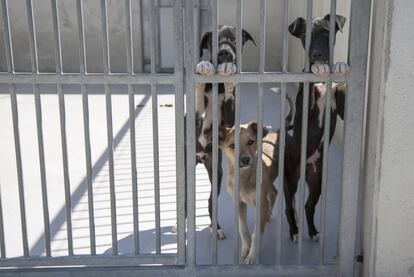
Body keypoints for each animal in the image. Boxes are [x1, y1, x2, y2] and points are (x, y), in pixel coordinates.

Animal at [193, 24, 256, 238]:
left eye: (234, 39)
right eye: (212, 41)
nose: (224, 53)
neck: (217, 85)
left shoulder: (229, 119)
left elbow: (230, 95)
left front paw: (229, 72)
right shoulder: (197, 115)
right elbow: (199, 94)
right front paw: (203, 68)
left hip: (216, 172)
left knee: (211, 200)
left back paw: (217, 227)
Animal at [282, 14, 350, 239]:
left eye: (326, 33)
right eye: (305, 36)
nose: (317, 55)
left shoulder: (342, 108)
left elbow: (341, 86)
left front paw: (340, 66)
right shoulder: (306, 106)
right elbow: (309, 82)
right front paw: (315, 68)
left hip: (317, 183)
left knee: (308, 207)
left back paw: (312, 232)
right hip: (290, 179)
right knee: (289, 206)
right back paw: (294, 231)